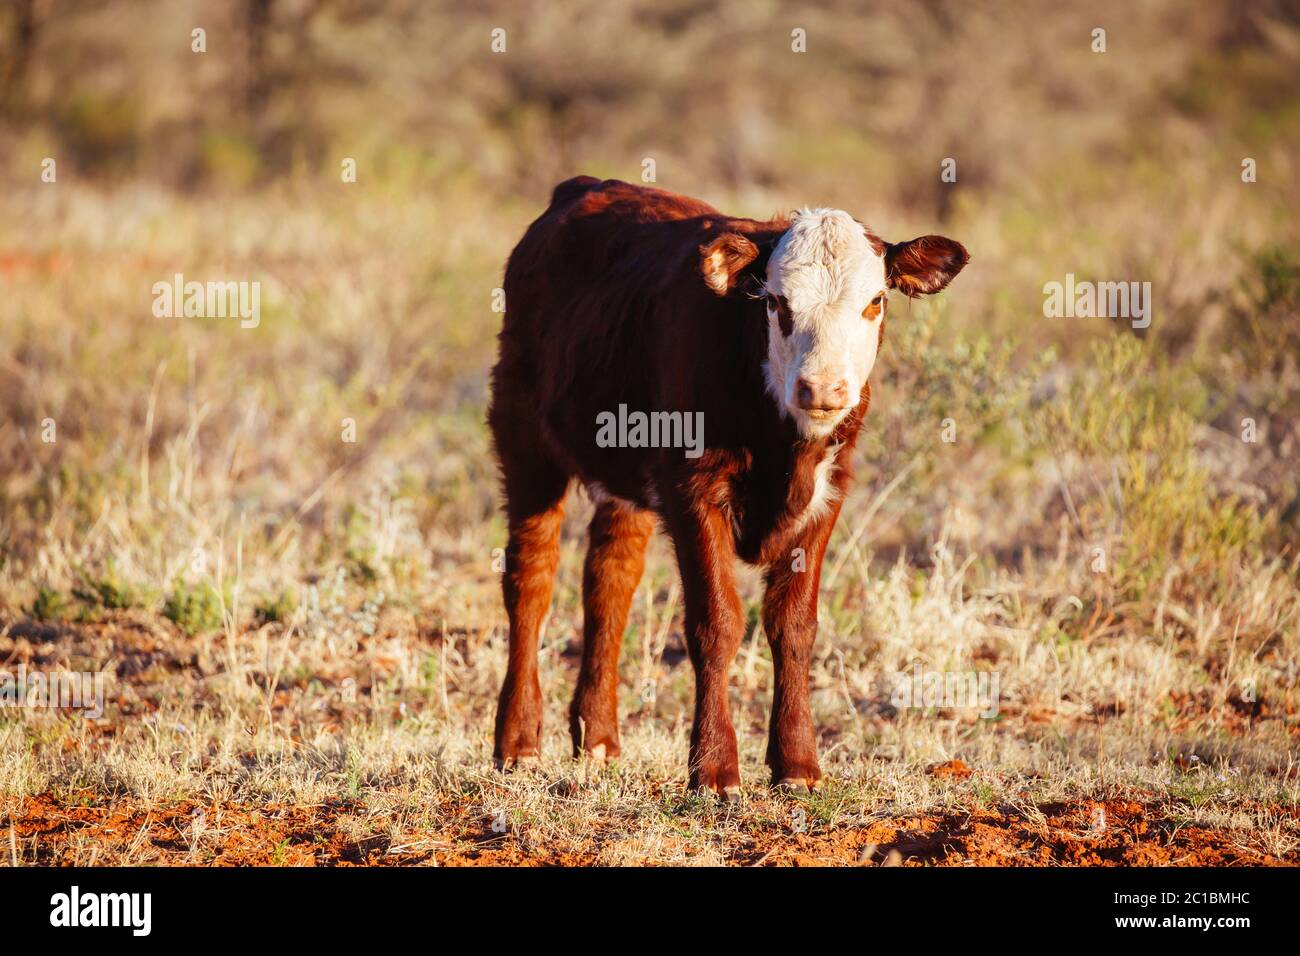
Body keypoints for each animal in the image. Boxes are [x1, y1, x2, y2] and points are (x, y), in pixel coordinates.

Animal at [488, 175, 967, 796]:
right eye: (775, 302)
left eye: (875, 301)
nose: (822, 389)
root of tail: (585, 187)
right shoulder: (692, 486)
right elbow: (716, 623)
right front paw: (714, 768)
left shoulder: (827, 496)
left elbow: (794, 626)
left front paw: (798, 764)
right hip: (523, 433)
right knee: (532, 576)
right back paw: (518, 742)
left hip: (624, 474)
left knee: (610, 580)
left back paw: (598, 739)